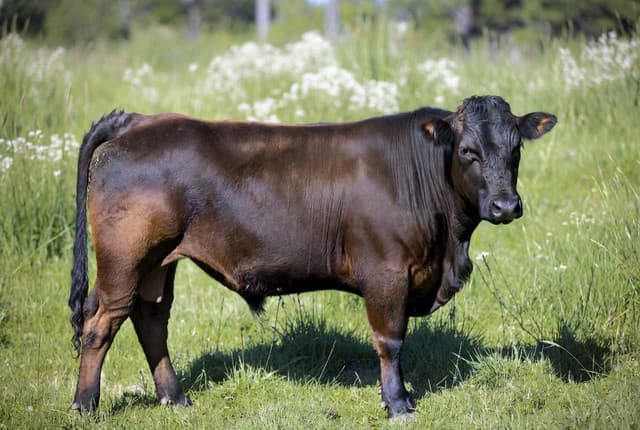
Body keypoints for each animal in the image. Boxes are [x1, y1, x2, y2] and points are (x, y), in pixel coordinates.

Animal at [69, 95, 556, 418]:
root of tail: (140, 119)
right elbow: (390, 341)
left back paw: (175, 398)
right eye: (468, 151)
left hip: (159, 262)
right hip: (125, 259)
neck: (449, 245)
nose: (506, 206)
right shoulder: (387, 273)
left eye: (515, 150)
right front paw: (398, 403)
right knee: (100, 325)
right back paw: (85, 405)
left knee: (150, 318)